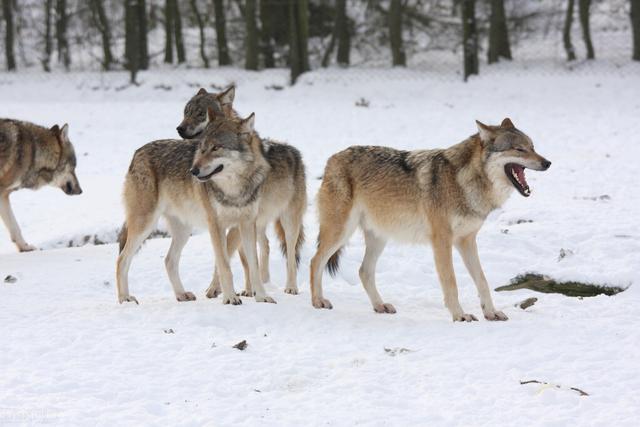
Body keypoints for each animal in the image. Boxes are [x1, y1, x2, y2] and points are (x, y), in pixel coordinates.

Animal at [0, 118, 84, 252]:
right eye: (74, 167)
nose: (81, 190)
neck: (34, 152)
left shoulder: (3, 195)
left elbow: (15, 227)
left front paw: (24, 248)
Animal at [308, 118, 552, 322]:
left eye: (533, 147)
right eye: (519, 149)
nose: (548, 162)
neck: (463, 181)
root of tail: (333, 158)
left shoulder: (467, 241)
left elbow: (482, 281)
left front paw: (491, 313)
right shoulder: (442, 240)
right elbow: (451, 282)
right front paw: (460, 315)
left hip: (379, 238)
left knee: (363, 271)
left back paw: (380, 306)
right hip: (341, 232)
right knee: (315, 261)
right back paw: (318, 301)